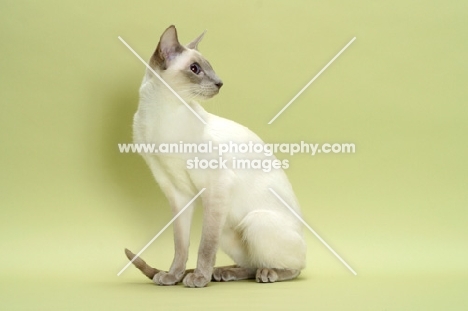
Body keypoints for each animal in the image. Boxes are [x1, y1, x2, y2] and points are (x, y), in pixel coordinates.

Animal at [125, 25, 308, 288]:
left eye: (209, 68)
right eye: (195, 69)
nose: (220, 83)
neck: (162, 117)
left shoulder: (217, 185)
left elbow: (205, 247)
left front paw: (198, 278)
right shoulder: (178, 194)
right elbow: (181, 246)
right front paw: (174, 276)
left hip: (254, 221)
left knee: (293, 267)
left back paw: (264, 274)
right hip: (227, 229)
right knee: (251, 264)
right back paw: (223, 273)